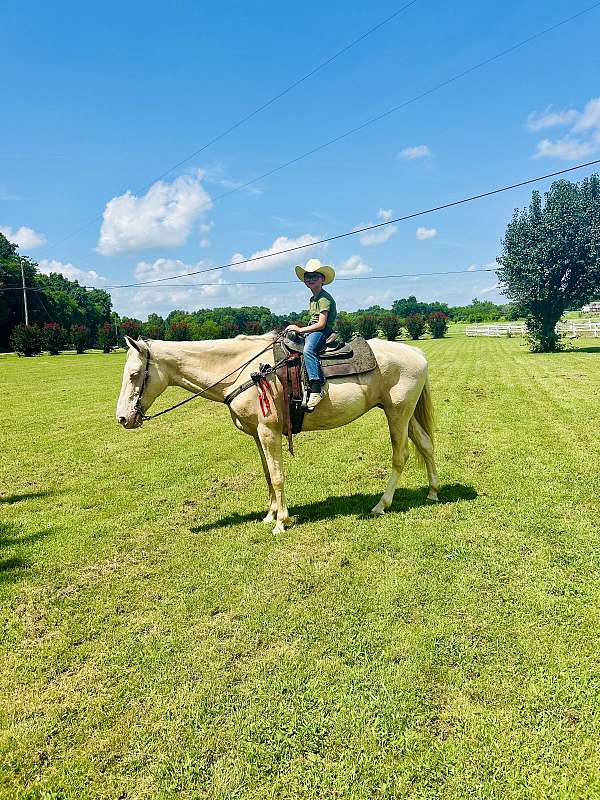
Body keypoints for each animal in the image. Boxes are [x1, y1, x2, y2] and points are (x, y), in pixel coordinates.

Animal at [116, 333, 440, 534]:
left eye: (134, 374)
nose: (123, 418)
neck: (243, 370)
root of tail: (415, 352)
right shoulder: (257, 435)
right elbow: (267, 475)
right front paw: (269, 514)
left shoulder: (269, 431)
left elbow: (277, 475)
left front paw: (281, 522)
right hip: (403, 414)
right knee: (425, 445)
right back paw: (433, 493)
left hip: (397, 414)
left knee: (401, 455)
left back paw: (381, 505)